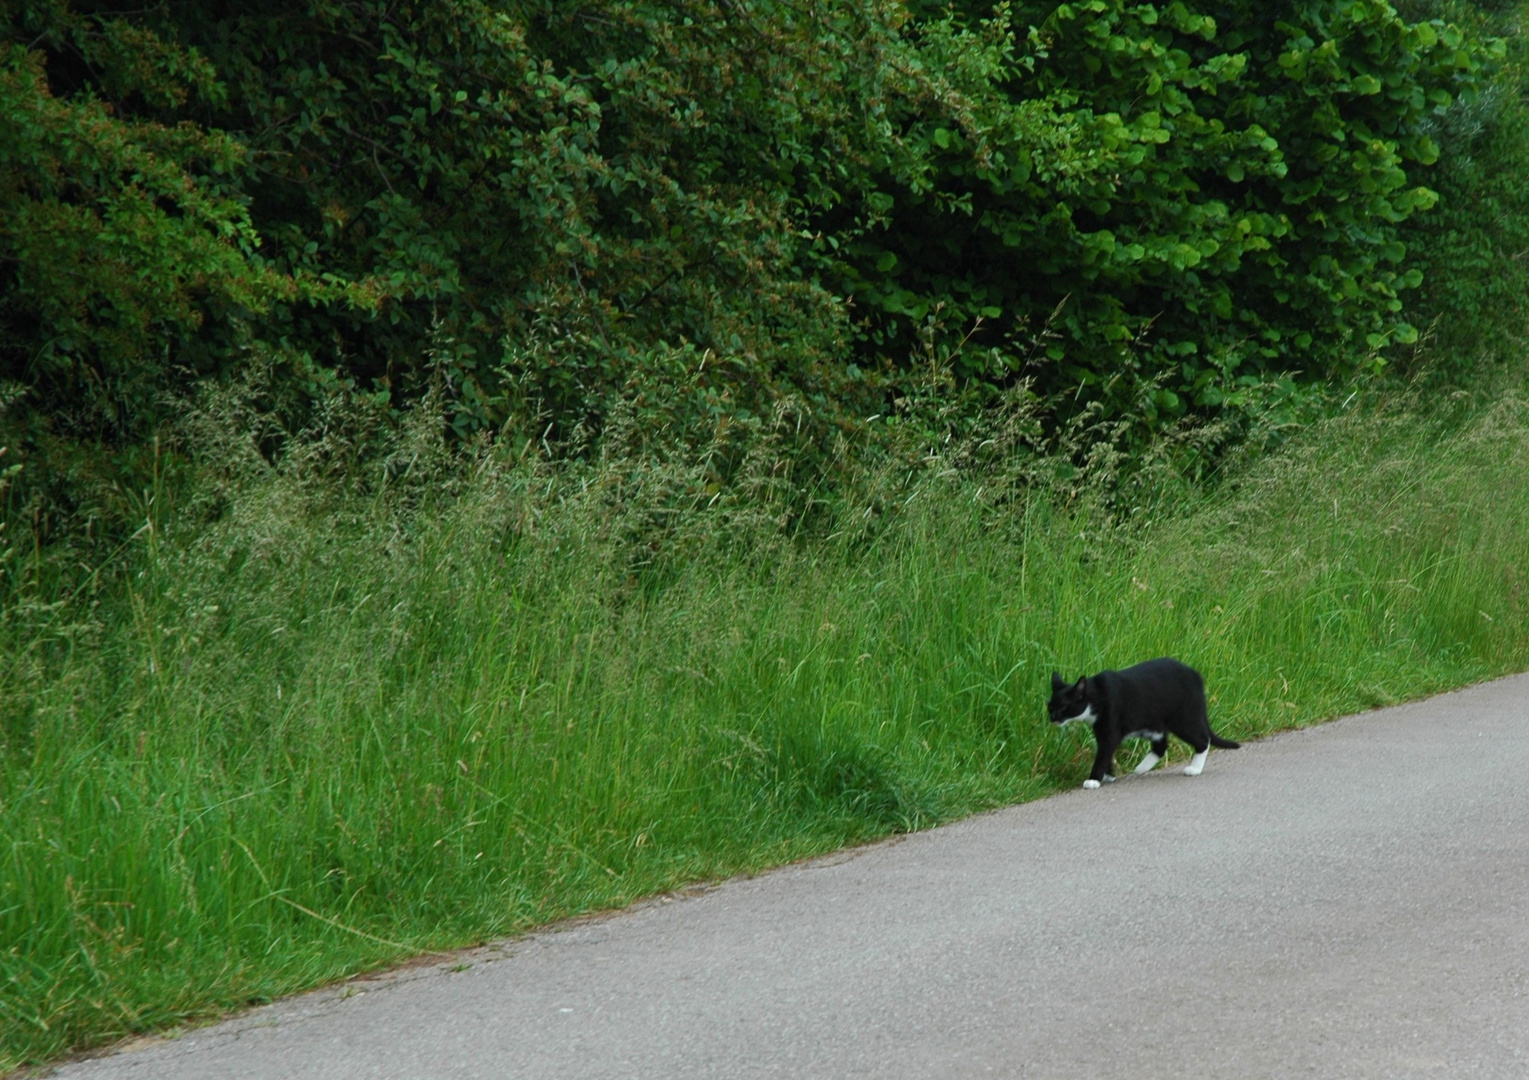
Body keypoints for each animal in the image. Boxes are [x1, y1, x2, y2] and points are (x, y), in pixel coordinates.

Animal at [1045, 651, 1235, 789]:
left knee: (1203, 739)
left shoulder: (1110, 730)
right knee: (1161, 745)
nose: (1053, 718)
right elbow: (1105, 752)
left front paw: (1094, 779)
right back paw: (1141, 768)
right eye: (1050, 707)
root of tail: (1195, 675)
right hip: (1154, 723)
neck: (1097, 695)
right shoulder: (1101, 730)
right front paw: (1108, 775)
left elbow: (1104, 753)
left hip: (1183, 719)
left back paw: (1194, 768)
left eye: (1064, 707)